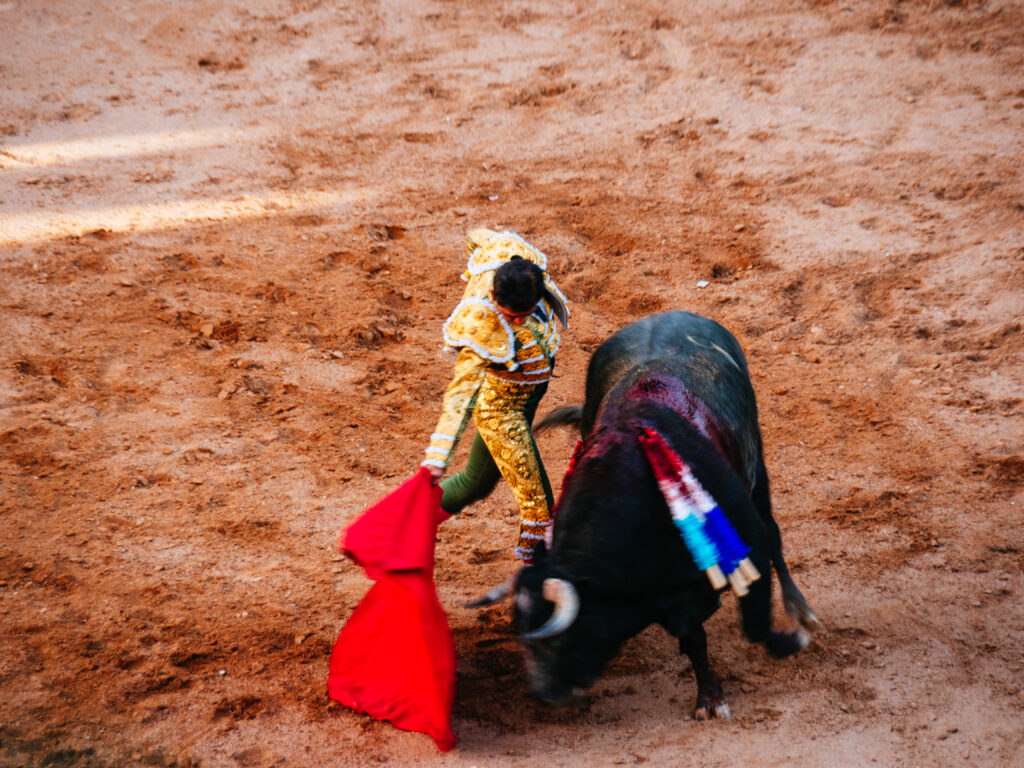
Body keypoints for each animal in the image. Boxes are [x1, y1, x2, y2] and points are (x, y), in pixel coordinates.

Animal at [516, 309, 819, 720]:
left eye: (559, 641)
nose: (543, 693)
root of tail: (669, 314)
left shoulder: (747, 541)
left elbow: (755, 622)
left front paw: (792, 639)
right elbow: (694, 640)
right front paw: (708, 698)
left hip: (756, 465)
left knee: (774, 533)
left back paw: (800, 610)